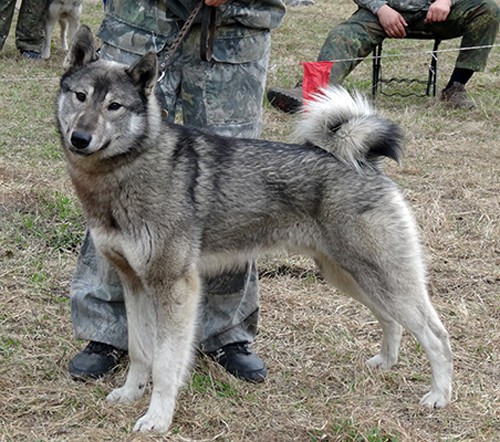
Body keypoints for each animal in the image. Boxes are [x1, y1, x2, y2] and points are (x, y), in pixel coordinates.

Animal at [56, 26, 453, 433]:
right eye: (80, 96)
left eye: (115, 106)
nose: (80, 138)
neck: (128, 170)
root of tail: (363, 162)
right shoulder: (135, 284)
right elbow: (139, 350)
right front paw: (130, 392)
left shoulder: (174, 287)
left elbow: (166, 364)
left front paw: (157, 417)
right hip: (349, 276)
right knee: (392, 320)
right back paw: (385, 363)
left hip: (383, 277)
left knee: (436, 335)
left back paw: (439, 395)